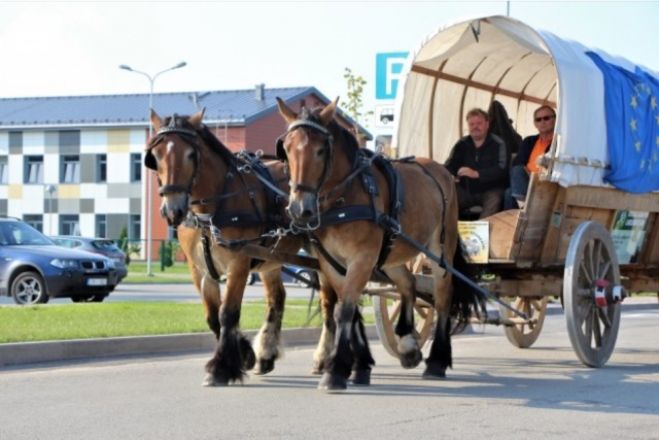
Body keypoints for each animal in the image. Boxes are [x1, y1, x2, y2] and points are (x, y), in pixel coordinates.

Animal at [144, 109, 324, 384]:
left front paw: (220, 368)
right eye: (155, 156)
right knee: (277, 298)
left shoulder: (238, 263)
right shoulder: (200, 271)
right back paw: (266, 355)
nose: (172, 210)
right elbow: (212, 316)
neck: (210, 212)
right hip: (271, 259)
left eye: (191, 154)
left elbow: (227, 313)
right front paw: (244, 354)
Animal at [276, 98, 482, 390]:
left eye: (320, 150)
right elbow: (345, 308)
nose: (298, 209)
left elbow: (345, 310)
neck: (344, 197)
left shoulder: (362, 258)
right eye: (287, 148)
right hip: (392, 254)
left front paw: (335, 371)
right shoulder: (330, 262)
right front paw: (357, 366)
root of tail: (440, 170)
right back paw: (408, 344)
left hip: (440, 250)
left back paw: (436, 362)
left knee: (442, 297)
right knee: (408, 283)